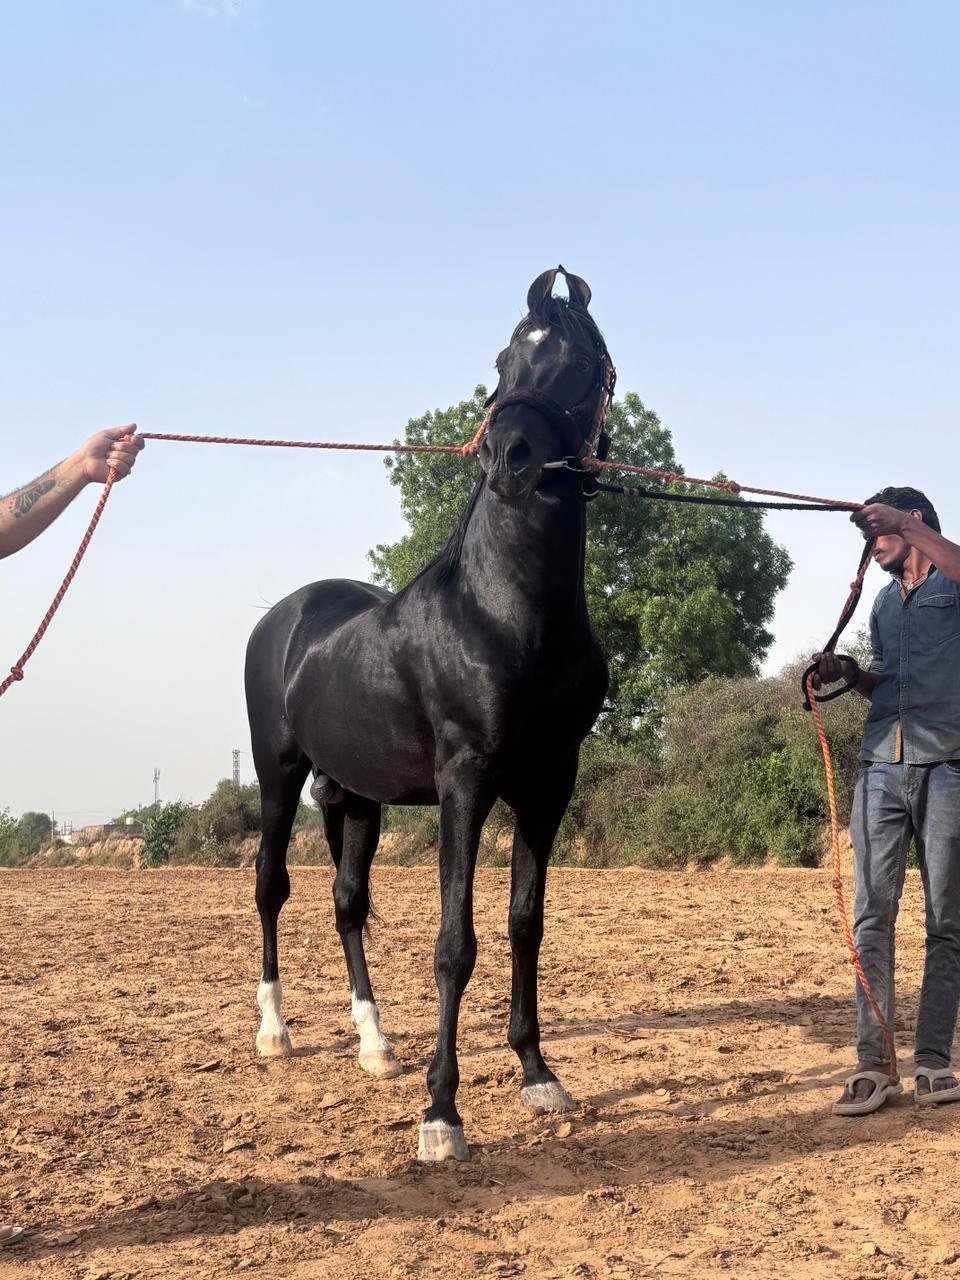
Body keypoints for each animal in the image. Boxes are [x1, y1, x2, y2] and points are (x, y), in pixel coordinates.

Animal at [244, 266, 614, 1162]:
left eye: (583, 363)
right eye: (505, 355)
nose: (510, 457)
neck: (506, 613)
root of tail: (289, 616)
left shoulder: (548, 785)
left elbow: (524, 924)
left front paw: (537, 1073)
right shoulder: (465, 783)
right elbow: (455, 943)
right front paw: (442, 1114)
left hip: (355, 795)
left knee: (345, 902)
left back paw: (375, 1044)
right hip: (278, 774)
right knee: (272, 887)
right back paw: (274, 1032)